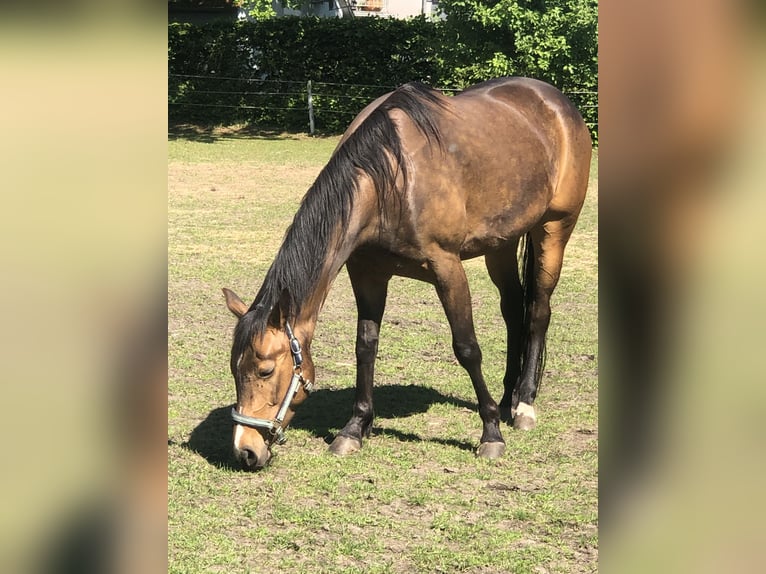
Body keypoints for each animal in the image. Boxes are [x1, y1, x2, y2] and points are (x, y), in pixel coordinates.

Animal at [222, 77, 592, 472]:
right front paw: (355, 428)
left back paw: (523, 405)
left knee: (537, 311)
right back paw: (508, 396)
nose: (246, 450)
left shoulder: (448, 269)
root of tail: (555, 101)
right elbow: (365, 346)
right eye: (234, 370)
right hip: (501, 244)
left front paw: (490, 433)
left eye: (264, 370)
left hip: (554, 230)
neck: (390, 181)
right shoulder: (367, 274)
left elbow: (467, 349)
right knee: (513, 311)